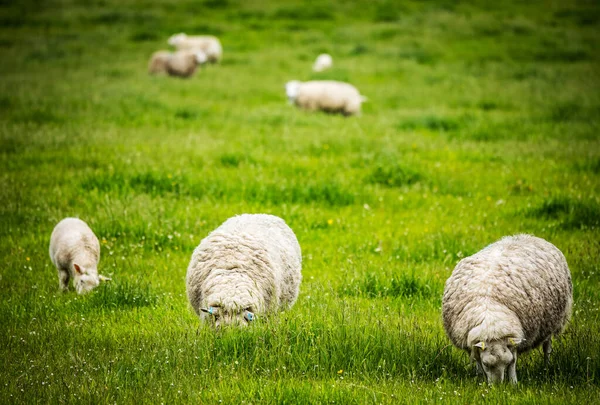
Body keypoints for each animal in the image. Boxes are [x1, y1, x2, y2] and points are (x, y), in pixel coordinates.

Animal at [442, 234, 576, 382]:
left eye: (506, 363)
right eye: (486, 364)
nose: (497, 386)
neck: (491, 320)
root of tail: (529, 236)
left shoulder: (515, 337)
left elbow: (514, 360)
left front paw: (513, 382)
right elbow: (476, 358)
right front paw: (480, 377)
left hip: (552, 323)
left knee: (547, 347)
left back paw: (547, 367)